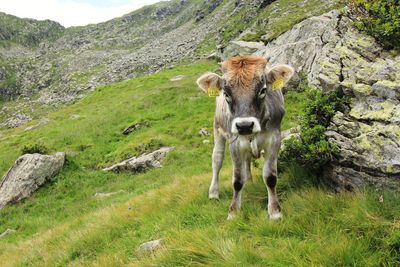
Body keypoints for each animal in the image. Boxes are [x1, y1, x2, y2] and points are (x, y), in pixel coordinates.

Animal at [196, 55, 294, 221]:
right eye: (226, 94)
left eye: (263, 90)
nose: (245, 125)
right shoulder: (234, 143)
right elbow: (237, 180)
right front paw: (233, 212)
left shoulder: (274, 139)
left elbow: (270, 177)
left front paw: (275, 212)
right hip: (217, 128)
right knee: (217, 159)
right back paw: (213, 192)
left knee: (247, 161)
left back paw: (249, 182)